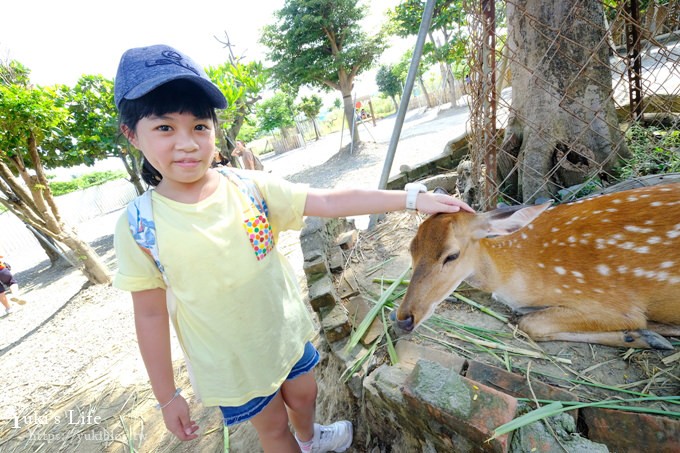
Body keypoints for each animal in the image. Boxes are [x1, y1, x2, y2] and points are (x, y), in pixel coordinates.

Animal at [394, 184, 680, 350]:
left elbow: (529, 325)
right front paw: (647, 336)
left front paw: (645, 336)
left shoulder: (615, 303)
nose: (404, 319)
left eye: (451, 255)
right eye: (411, 249)